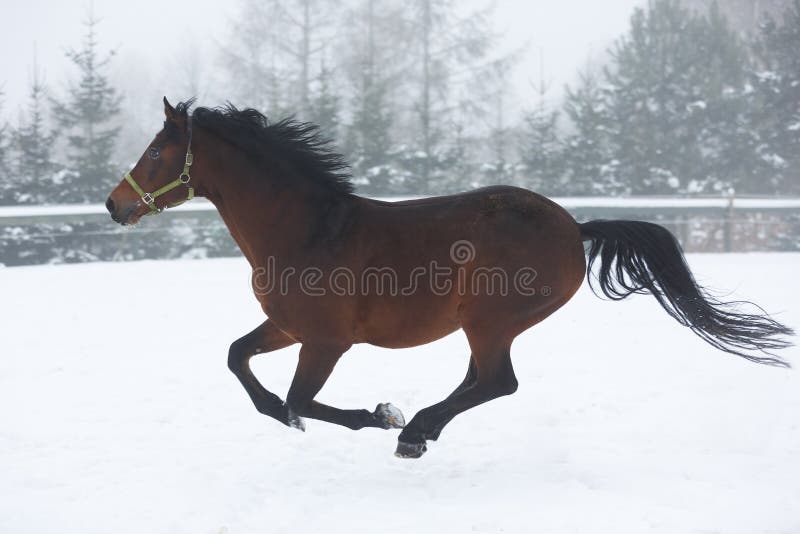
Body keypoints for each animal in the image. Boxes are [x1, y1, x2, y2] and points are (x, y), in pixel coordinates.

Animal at [108, 98, 792, 458]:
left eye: (157, 152)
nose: (115, 204)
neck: (309, 229)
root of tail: (575, 227)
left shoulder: (326, 341)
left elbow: (302, 400)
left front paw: (380, 415)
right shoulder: (286, 327)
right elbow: (238, 360)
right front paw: (302, 415)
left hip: (491, 320)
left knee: (497, 381)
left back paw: (411, 431)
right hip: (483, 325)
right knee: (479, 381)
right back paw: (422, 430)